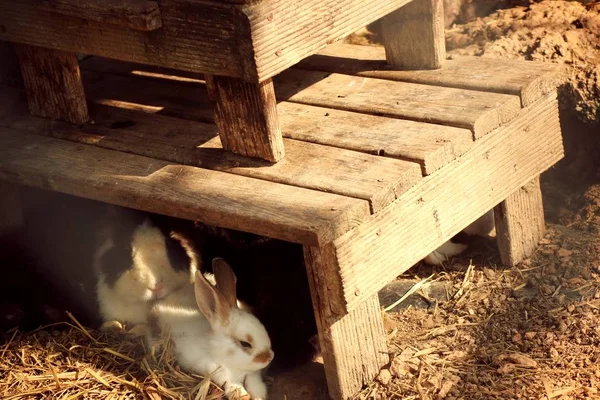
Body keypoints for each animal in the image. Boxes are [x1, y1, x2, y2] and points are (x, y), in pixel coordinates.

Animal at [148, 258, 274, 398]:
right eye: (245, 344)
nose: (270, 357)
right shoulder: (219, 373)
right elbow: (232, 384)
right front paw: (242, 395)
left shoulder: (252, 374)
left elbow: (254, 382)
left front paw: (259, 395)